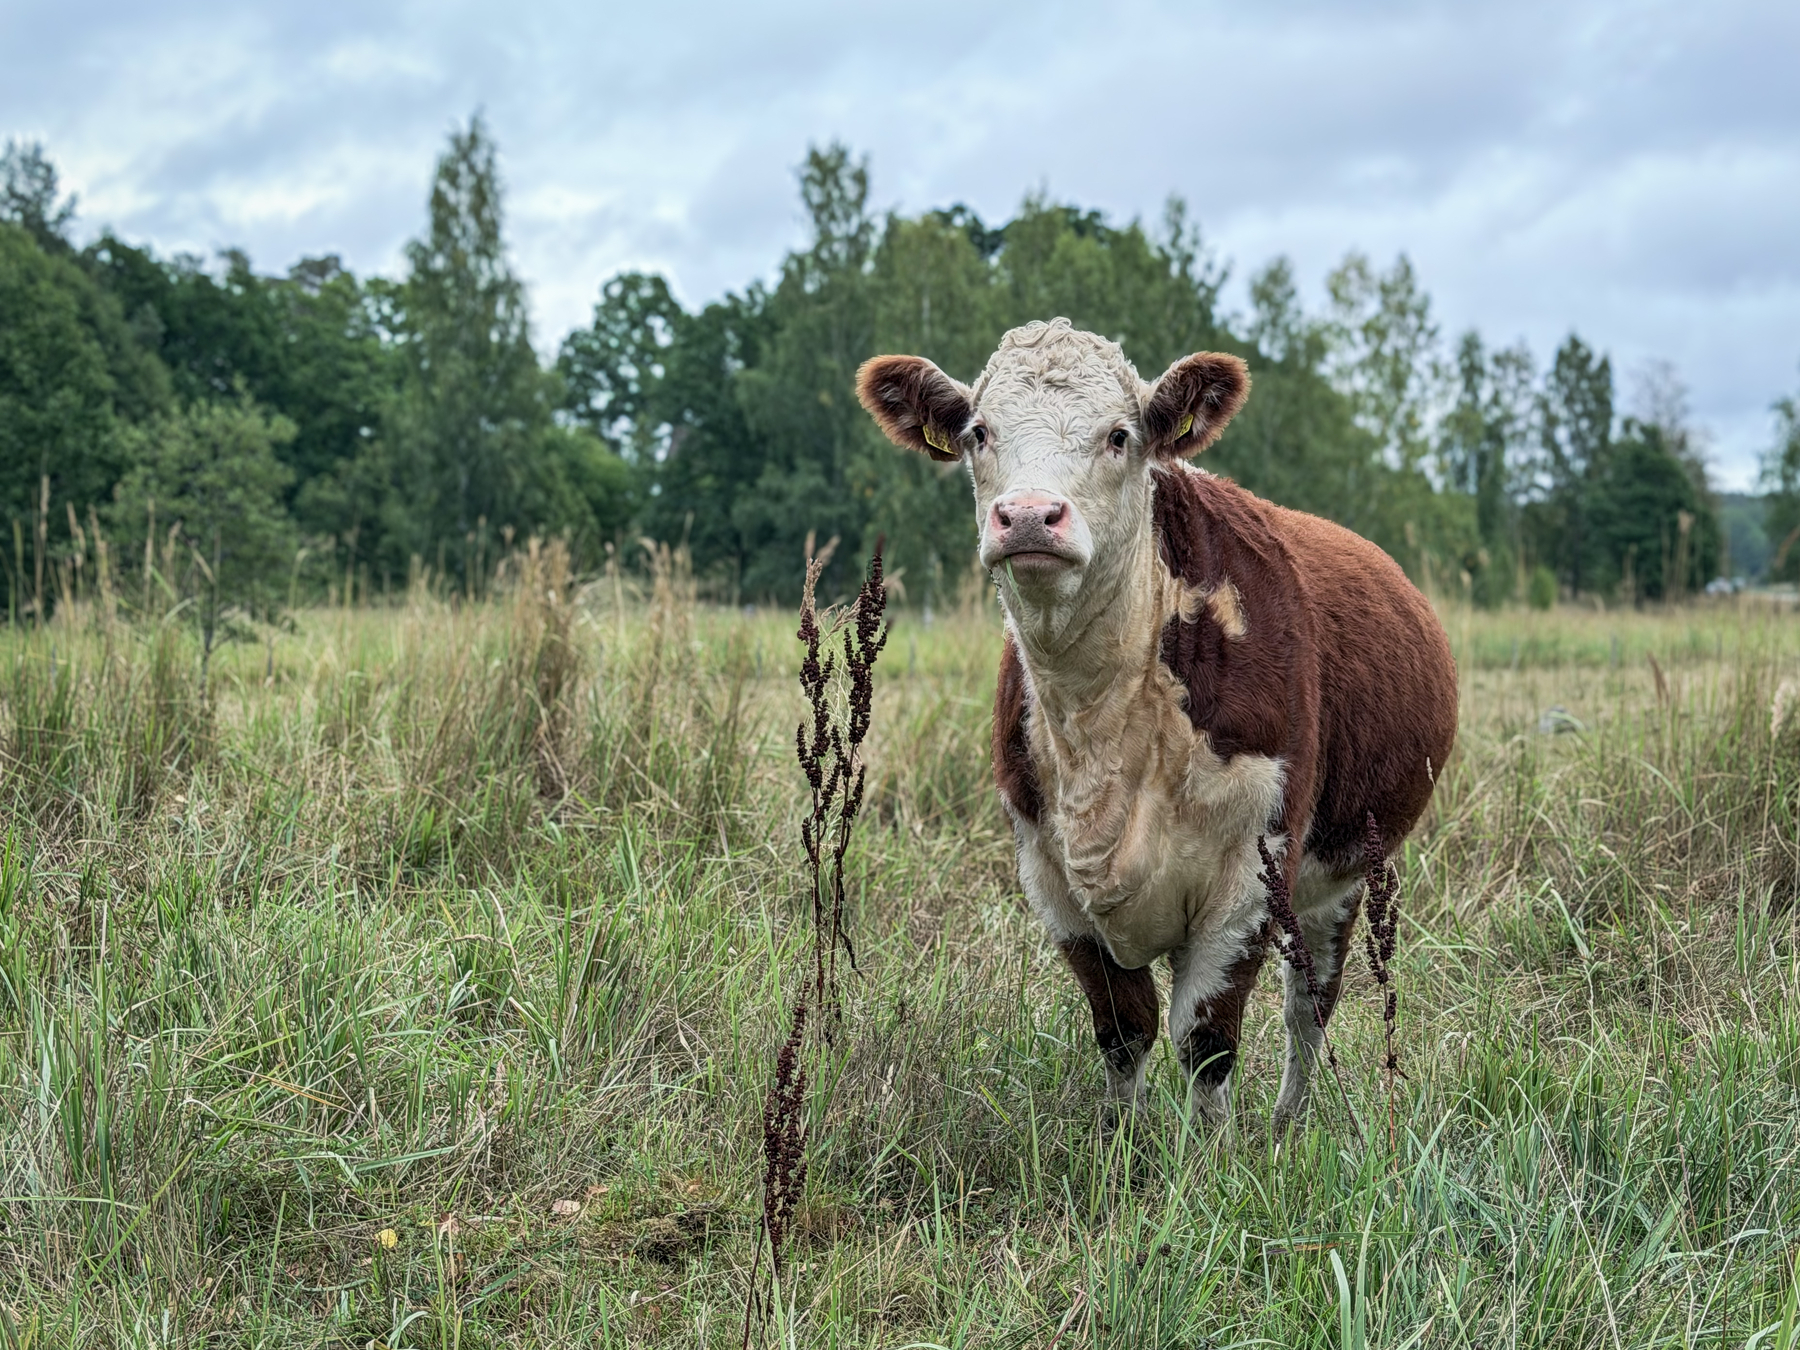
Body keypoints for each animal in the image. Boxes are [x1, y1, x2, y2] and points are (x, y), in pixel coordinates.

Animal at [856, 318, 1458, 1130]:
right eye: (980, 432)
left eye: (1119, 435)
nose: (1028, 516)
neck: (1100, 725)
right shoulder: (1049, 875)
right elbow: (1124, 1028)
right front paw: (1121, 1142)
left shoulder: (1251, 880)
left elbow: (1206, 1041)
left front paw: (1212, 1154)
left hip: (1347, 870)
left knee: (1310, 1005)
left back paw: (1288, 1122)